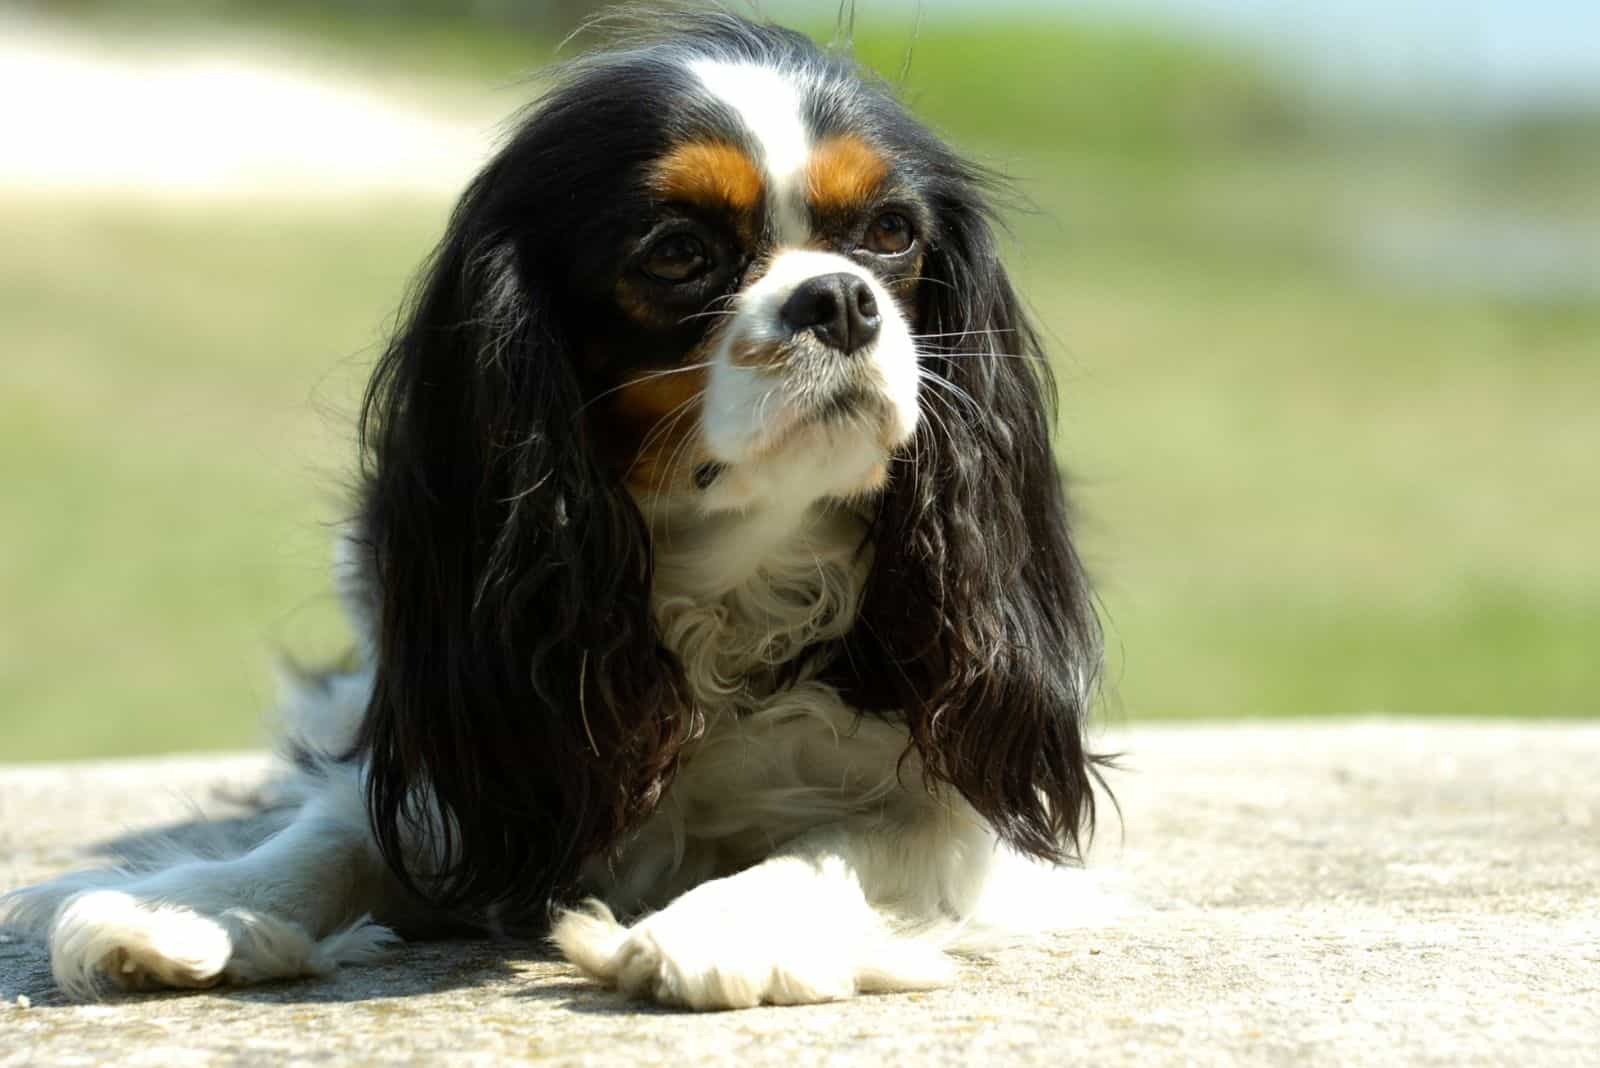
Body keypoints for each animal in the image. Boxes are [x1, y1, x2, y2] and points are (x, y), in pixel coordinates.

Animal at [0, 10, 1113, 1010]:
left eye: (890, 234)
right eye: (676, 254)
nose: (838, 299)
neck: (728, 584)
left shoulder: (957, 784)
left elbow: (845, 840)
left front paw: (728, 923)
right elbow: (345, 826)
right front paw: (199, 904)